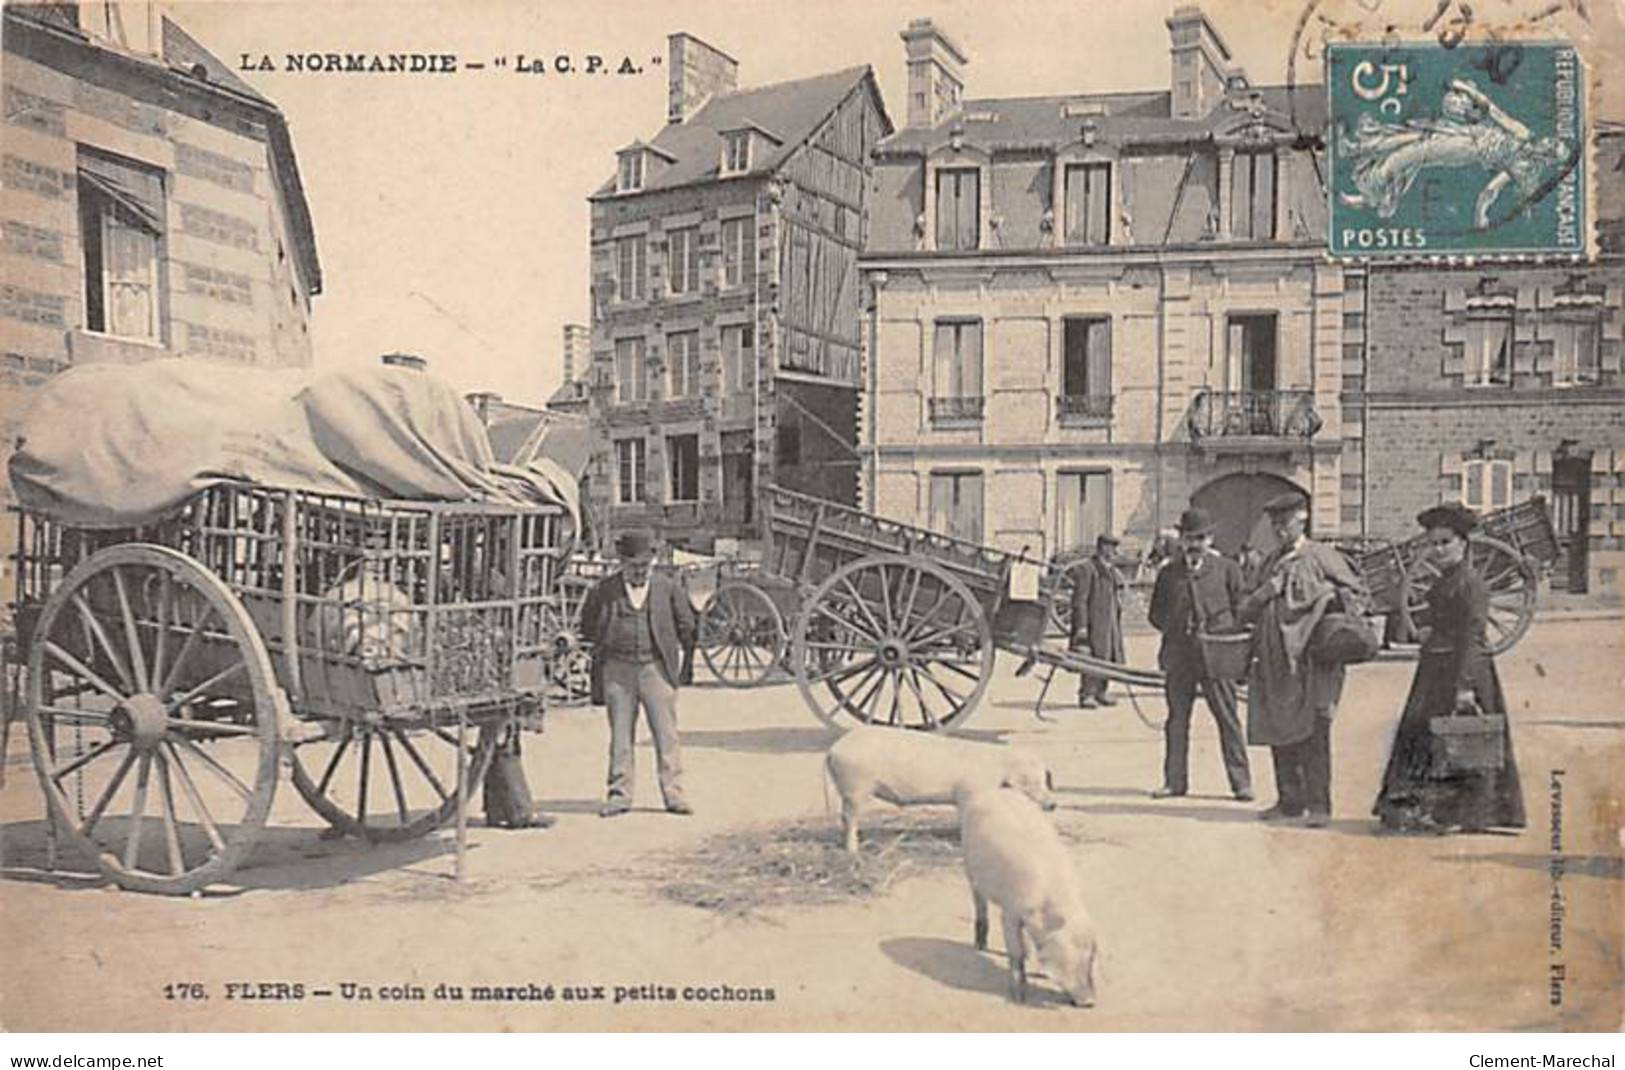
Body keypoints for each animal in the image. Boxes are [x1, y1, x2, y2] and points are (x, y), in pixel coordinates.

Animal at [825, 725, 1053, 852]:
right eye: (1034, 781)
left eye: (1045, 778)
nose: (1053, 804)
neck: (999, 769)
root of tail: (833, 749)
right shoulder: (969, 792)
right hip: (856, 786)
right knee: (848, 817)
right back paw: (854, 850)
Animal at [955, 780, 1098, 1001]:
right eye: (1069, 949)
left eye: (1091, 954)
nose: (1090, 1002)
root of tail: (992, 791)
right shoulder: (1010, 912)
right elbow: (1016, 951)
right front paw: (1019, 996)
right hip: (969, 868)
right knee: (979, 903)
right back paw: (980, 945)